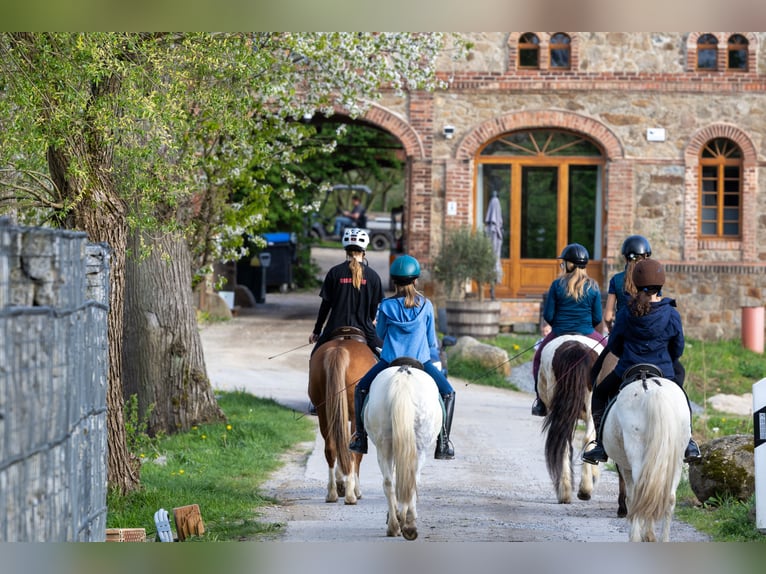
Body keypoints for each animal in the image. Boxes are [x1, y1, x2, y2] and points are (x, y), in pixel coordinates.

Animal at [308, 330, 376, 506]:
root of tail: (339, 349)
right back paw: (351, 495)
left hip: (323, 411)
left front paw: (341, 484)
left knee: (331, 448)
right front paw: (354, 489)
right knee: (351, 451)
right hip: (354, 414)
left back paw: (332, 493)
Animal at [366, 362, 444, 544]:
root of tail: (403, 376)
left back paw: (397, 525)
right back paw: (406, 525)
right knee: (410, 481)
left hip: (385, 445)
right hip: (419, 447)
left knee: (389, 482)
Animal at [604, 374, 692, 544]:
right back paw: (663, 538)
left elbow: (631, 497)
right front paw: (649, 534)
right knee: (668, 497)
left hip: (636, 452)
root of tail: (653, 390)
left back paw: (636, 537)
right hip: (677, 459)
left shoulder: (625, 467)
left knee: (640, 492)